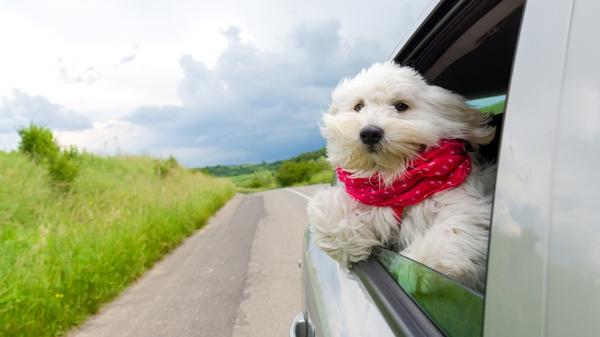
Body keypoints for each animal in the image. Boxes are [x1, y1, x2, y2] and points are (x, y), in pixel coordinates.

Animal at [308, 62, 494, 288]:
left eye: (401, 106)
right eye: (358, 106)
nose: (369, 133)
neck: (395, 179)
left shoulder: (465, 204)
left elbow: (455, 227)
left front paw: (422, 270)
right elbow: (331, 215)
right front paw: (355, 244)